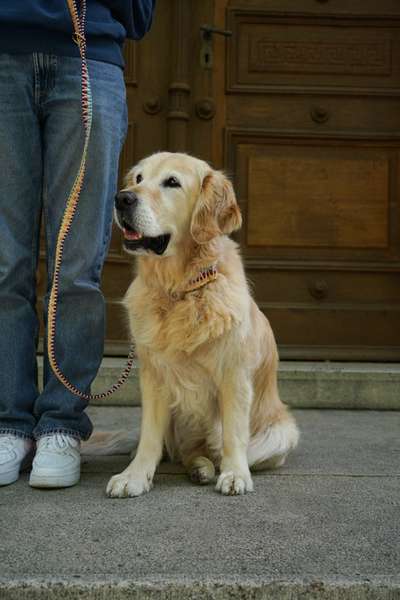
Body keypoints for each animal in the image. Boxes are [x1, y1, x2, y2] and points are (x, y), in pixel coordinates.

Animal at [104, 152, 298, 500]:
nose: (122, 198)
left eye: (172, 182)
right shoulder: (153, 375)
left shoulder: (234, 373)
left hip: (281, 432)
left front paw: (235, 474)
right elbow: (149, 436)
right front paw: (135, 475)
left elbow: (233, 433)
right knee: (185, 451)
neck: (181, 289)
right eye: (138, 178)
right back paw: (199, 467)